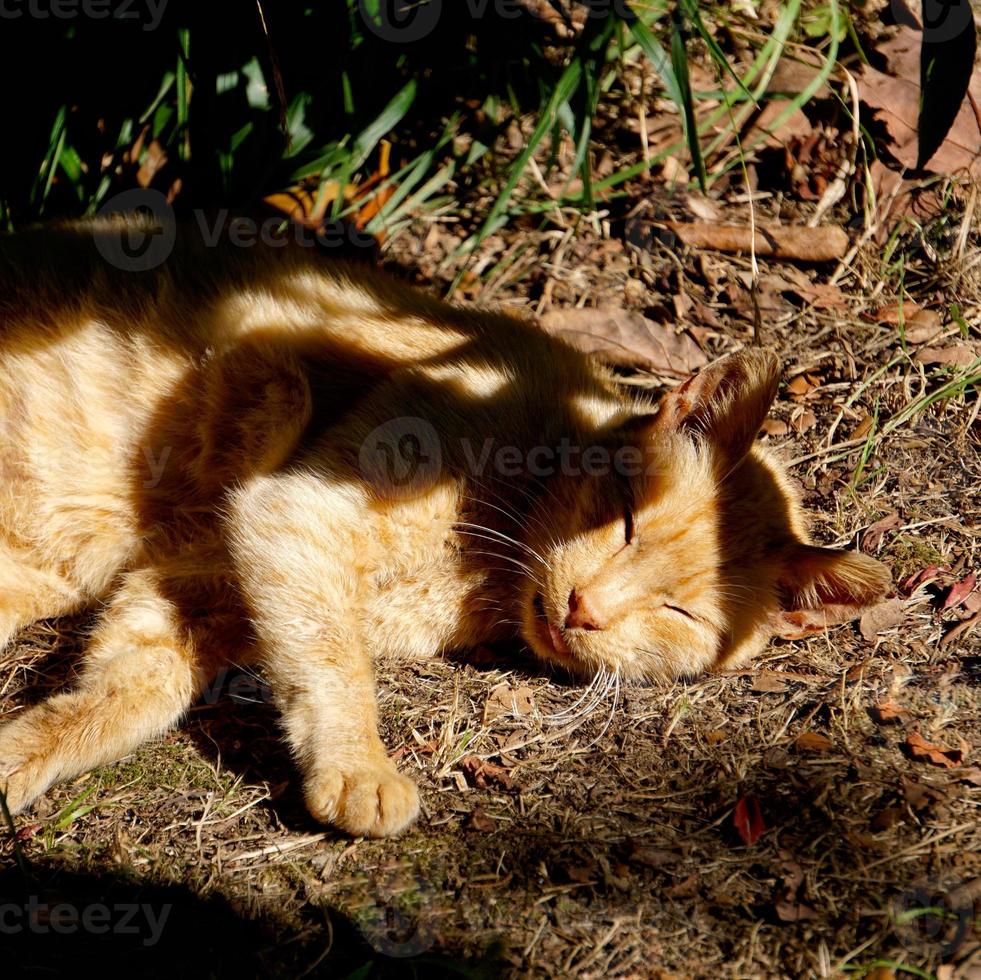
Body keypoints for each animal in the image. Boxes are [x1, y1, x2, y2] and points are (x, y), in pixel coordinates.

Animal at [0, 218, 888, 840]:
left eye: (680, 614)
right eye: (627, 521)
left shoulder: (197, 588)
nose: (585, 611)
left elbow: (118, 696)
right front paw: (360, 769)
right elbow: (334, 666)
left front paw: (20, 755)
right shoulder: (291, 513)